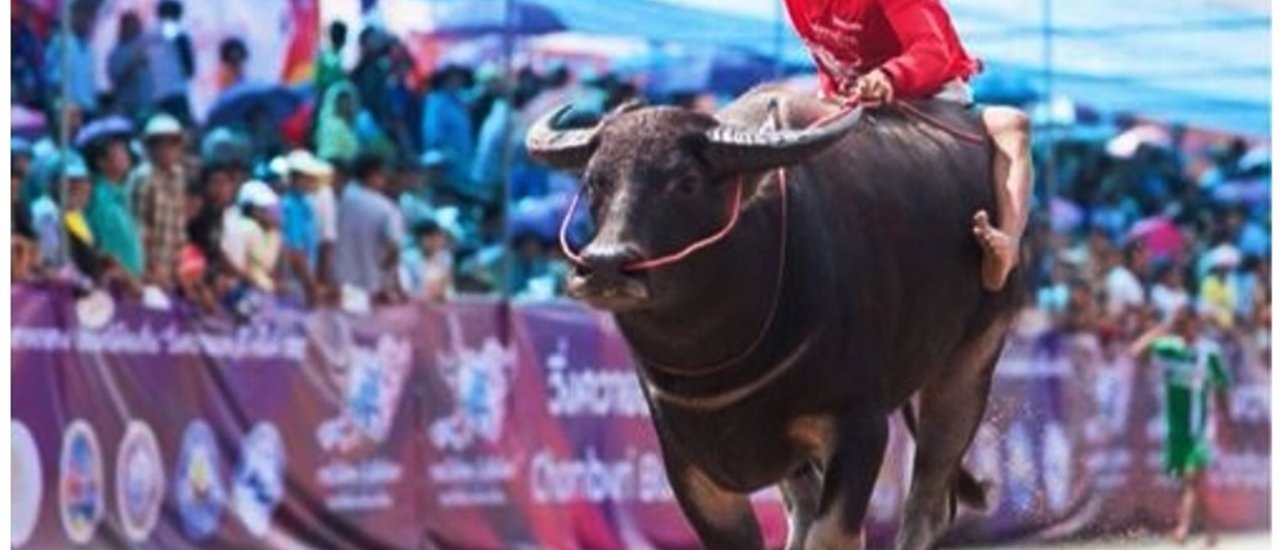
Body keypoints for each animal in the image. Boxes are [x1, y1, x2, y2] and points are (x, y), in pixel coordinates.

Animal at [524, 86, 1024, 550]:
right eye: (594, 182)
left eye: (686, 181)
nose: (606, 264)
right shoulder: (687, 460)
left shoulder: (859, 426)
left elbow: (833, 534)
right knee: (805, 509)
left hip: (969, 363)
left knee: (927, 505)